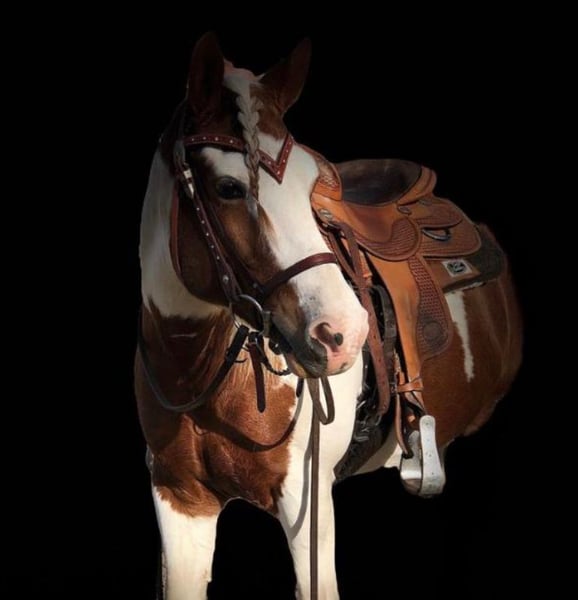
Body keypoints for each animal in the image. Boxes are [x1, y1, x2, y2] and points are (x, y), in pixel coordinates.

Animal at [134, 33, 522, 599]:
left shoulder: (306, 503)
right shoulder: (179, 499)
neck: (198, 369)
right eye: (229, 188)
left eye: (310, 187)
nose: (344, 333)